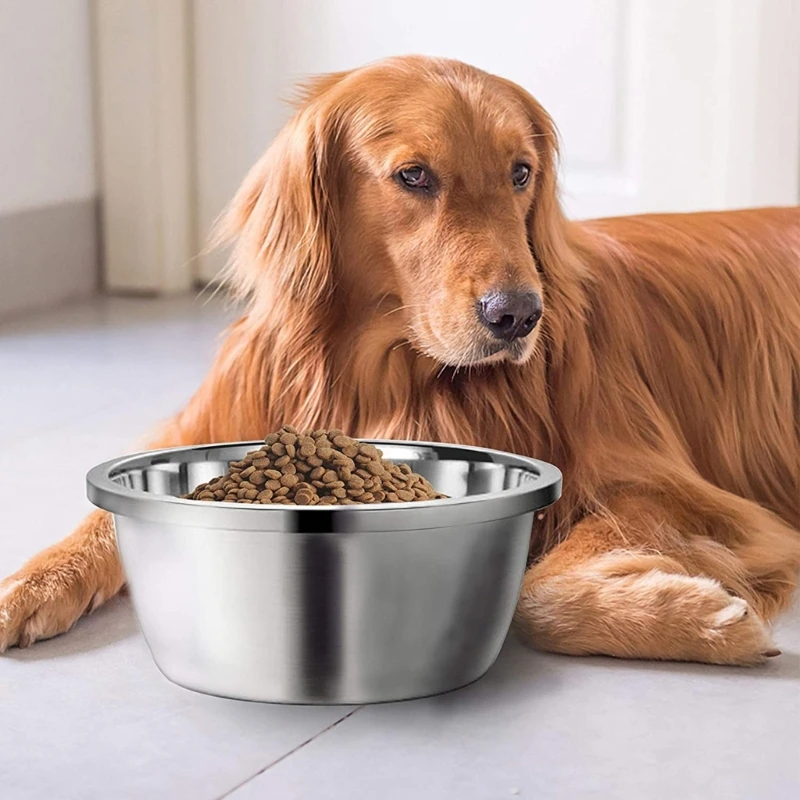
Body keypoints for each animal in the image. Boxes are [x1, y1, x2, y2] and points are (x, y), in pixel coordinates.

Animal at [1, 59, 800, 664]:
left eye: (521, 172)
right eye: (414, 176)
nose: (518, 316)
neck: (378, 376)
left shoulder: (674, 493)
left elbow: (538, 593)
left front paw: (703, 619)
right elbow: (93, 522)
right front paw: (24, 587)